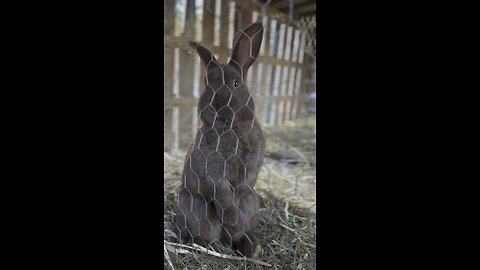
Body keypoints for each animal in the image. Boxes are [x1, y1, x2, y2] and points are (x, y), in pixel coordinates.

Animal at [174, 21, 266, 258]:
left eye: (236, 83)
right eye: (207, 83)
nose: (217, 110)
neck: (230, 129)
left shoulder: (252, 165)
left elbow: (243, 185)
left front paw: (233, 217)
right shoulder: (213, 170)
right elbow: (222, 191)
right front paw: (231, 217)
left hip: (252, 203)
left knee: (237, 233)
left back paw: (249, 247)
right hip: (195, 206)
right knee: (204, 235)